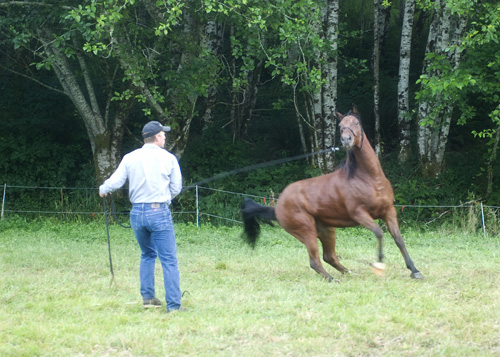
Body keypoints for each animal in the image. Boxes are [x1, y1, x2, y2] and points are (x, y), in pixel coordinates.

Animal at [240, 105, 424, 280]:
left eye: (356, 123)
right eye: (340, 126)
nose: (346, 139)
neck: (368, 178)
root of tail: (277, 207)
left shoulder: (388, 211)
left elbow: (399, 240)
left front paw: (415, 271)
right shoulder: (359, 214)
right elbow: (379, 232)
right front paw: (379, 264)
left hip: (327, 231)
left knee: (329, 257)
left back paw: (350, 274)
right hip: (307, 232)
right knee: (315, 261)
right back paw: (332, 279)